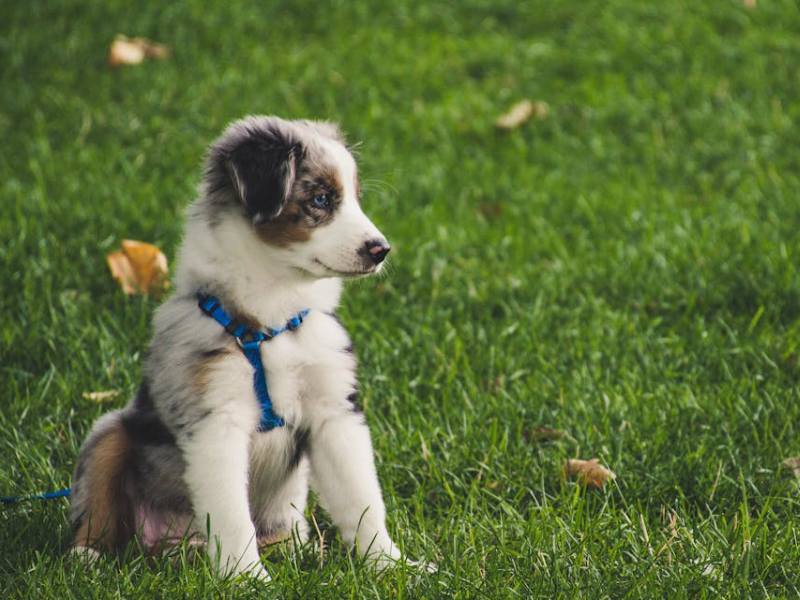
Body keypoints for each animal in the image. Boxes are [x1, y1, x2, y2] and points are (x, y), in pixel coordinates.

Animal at [69, 115, 406, 580]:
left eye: (355, 199)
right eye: (321, 199)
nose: (381, 250)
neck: (273, 319)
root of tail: (169, 543)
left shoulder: (334, 412)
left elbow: (362, 499)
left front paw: (394, 567)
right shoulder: (216, 420)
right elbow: (231, 514)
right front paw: (247, 579)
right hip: (110, 432)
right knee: (97, 501)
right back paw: (88, 556)